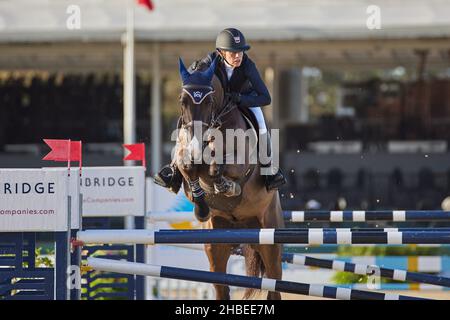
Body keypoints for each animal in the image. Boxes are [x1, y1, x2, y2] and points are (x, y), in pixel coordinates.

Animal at [171, 57, 282, 300]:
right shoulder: (185, 155)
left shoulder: (241, 163)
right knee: (221, 287)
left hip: (269, 241)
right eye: (182, 101)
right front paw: (201, 207)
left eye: (209, 101)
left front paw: (227, 186)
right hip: (216, 247)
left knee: (274, 282)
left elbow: (218, 167)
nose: (196, 145)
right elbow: (187, 167)